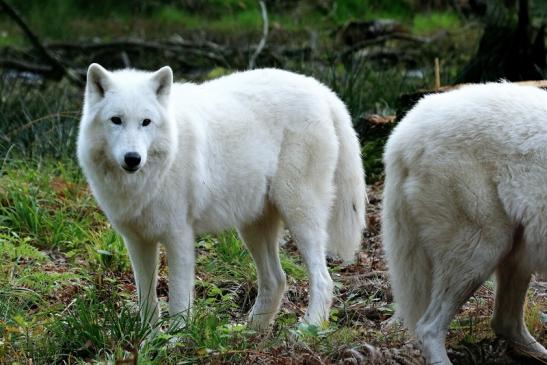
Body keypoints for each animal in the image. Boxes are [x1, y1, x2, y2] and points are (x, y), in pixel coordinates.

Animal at [77, 64, 368, 328]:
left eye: (146, 122)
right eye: (116, 120)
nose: (133, 158)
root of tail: (321, 89)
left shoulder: (178, 237)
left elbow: (178, 299)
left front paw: (175, 341)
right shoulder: (138, 241)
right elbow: (147, 301)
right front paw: (149, 341)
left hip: (300, 214)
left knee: (323, 278)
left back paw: (308, 328)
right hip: (252, 225)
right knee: (277, 279)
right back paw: (250, 331)